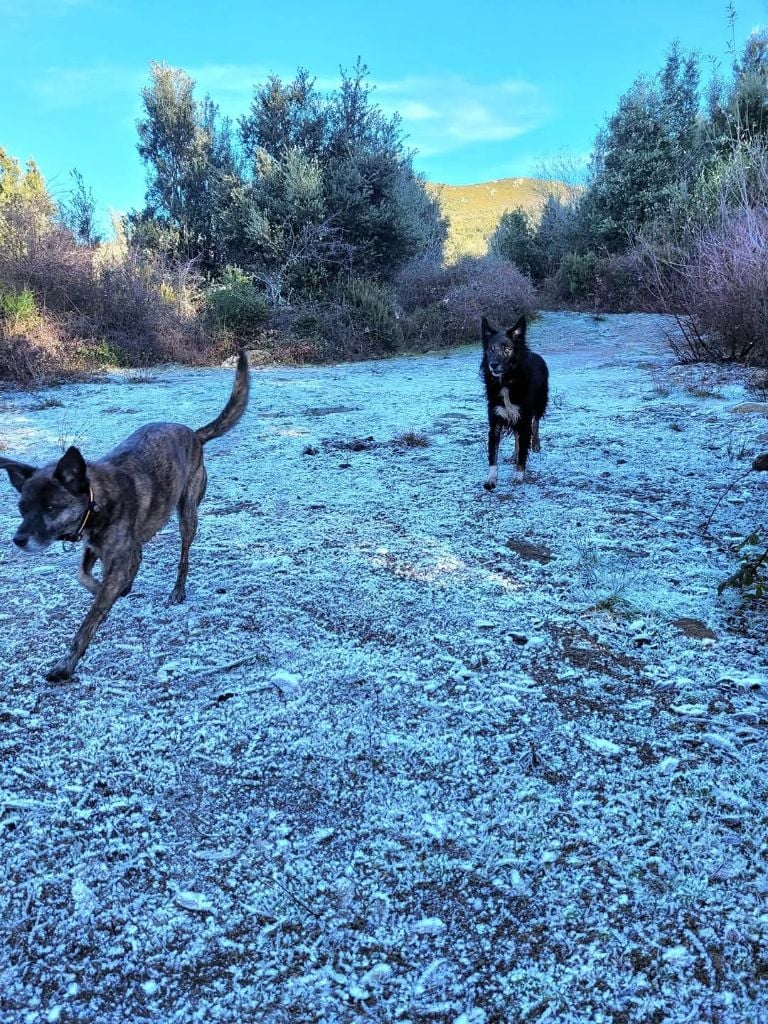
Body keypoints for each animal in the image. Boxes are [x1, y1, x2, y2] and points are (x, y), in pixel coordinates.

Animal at [0, 352, 249, 679]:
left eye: (51, 508)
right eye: (22, 508)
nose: (18, 540)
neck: (96, 499)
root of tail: (193, 435)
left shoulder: (112, 552)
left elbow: (91, 617)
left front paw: (66, 664)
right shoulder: (95, 546)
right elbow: (85, 575)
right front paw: (114, 588)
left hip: (188, 514)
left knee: (183, 555)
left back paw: (177, 591)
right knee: (139, 551)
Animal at [481, 311, 548, 487]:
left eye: (507, 349)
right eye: (491, 349)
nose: (493, 364)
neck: (507, 381)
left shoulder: (524, 418)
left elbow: (524, 449)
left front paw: (519, 475)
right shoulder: (495, 422)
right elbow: (493, 455)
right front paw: (491, 479)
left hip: (539, 402)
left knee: (536, 422)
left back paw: (536, 444)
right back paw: (513, 455)